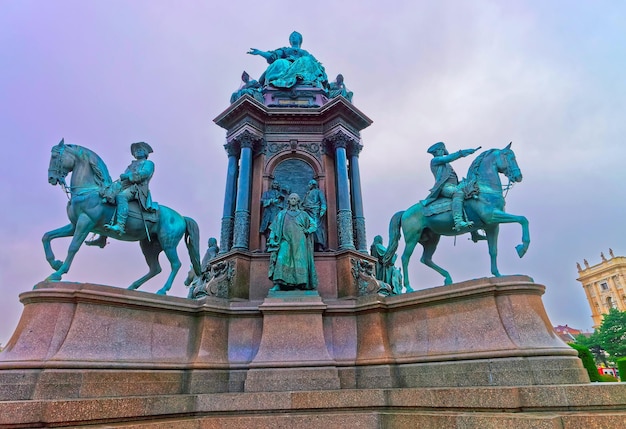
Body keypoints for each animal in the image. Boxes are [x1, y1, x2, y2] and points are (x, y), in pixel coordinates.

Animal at [44, 140, 200, 294]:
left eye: (55, 156)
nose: (51, 178)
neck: (89, 190)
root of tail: (181, 217)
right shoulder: (74, 225)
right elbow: (47, 236)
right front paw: (55, 263)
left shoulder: (85, 222)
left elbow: (73, 247)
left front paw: (58, 273)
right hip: (149, 245)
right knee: (155, 268)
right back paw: (132, 287)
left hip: (168, 243)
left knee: (175, 264)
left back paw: (162, 290)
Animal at [386, 144, 528, 290]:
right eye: (510, 157)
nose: (519, 176)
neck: (484, 189)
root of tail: (405, 212)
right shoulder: (492, 217)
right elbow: (523, 219)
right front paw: (522, 248)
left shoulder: (492, 226)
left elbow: (493, 250)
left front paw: (498, 274)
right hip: (412, 238)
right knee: (405, 258)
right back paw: (409, 287)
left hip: (432, 239)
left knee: (426, 259)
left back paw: (448, 278)